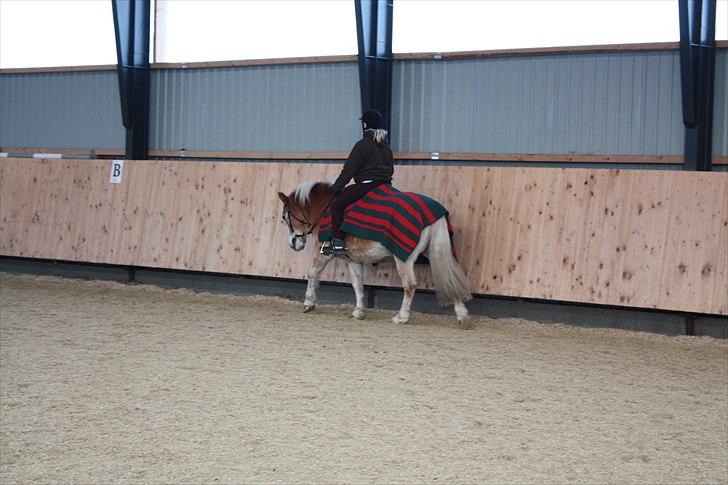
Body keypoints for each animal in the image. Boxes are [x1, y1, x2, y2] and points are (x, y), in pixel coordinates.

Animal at [278, 180, 472, 328]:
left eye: (285, 216)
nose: (293, 244)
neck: (326, 208)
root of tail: (433, 212)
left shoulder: (324, 254)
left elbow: (312, 273)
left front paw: (308, 303)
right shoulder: (352, 260)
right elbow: (357, 284)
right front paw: (359, 311)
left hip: (404, 259)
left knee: (410, 285)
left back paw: (402, 317)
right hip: (434, 252)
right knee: (450, 278)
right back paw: (462, 317)